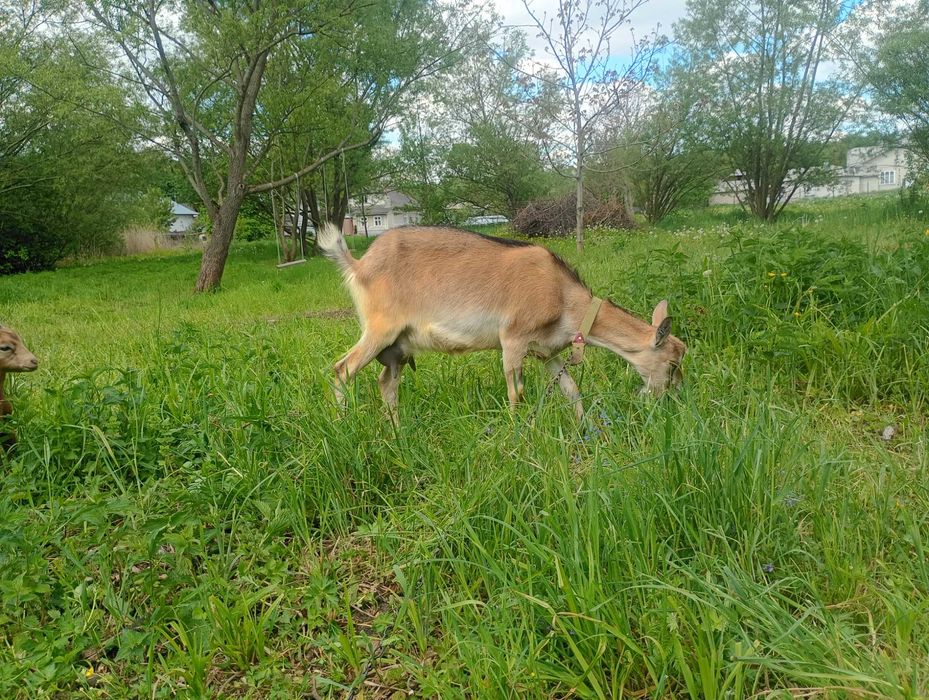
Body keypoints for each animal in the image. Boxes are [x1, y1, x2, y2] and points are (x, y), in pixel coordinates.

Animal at [317, 224, 685, 419]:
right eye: (671, 364)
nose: (672, 399)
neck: (563, 296)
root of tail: (358, 264)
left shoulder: (547, 352)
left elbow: (571, 389)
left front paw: (586, 427)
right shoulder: (513, 339)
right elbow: (516, 393)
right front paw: (518, 436)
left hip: (399, 346)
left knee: (385, 382)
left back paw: (396, 429)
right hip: (380, 330)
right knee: (342, 369)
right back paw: (344, 422)